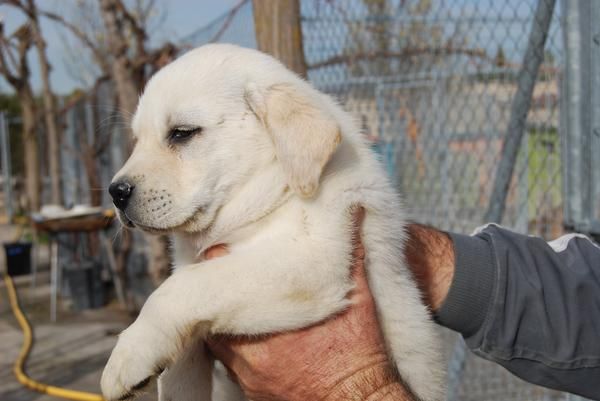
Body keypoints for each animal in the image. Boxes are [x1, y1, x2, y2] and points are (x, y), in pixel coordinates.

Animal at [102, 43, 446, 400]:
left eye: (182, 134)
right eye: (137, 139)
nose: (116, 193)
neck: (272, 194)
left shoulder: (315, 261)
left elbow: (181, 287)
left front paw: (128, 355)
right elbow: (181, 370)